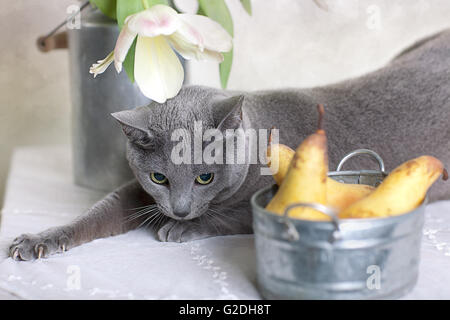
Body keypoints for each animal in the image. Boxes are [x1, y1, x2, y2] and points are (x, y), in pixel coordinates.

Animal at [7, 29, 450, 260]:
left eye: (205, 177)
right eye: (158, 178)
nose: (179, 210)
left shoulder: (264, 203)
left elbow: (227, 216)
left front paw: (179, 229)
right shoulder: (138, 193)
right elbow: (99, 212)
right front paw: (40, 239)